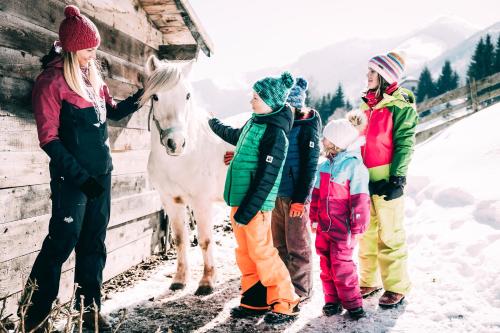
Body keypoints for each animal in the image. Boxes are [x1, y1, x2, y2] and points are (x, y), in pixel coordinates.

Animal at [141, 55, 244, 296]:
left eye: (187, 95)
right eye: (156, 96)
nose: (176, 143)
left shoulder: (201, 202)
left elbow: (205, 240)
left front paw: (206, 282)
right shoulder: (172, 202)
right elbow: (181, 240)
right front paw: (179, 280)